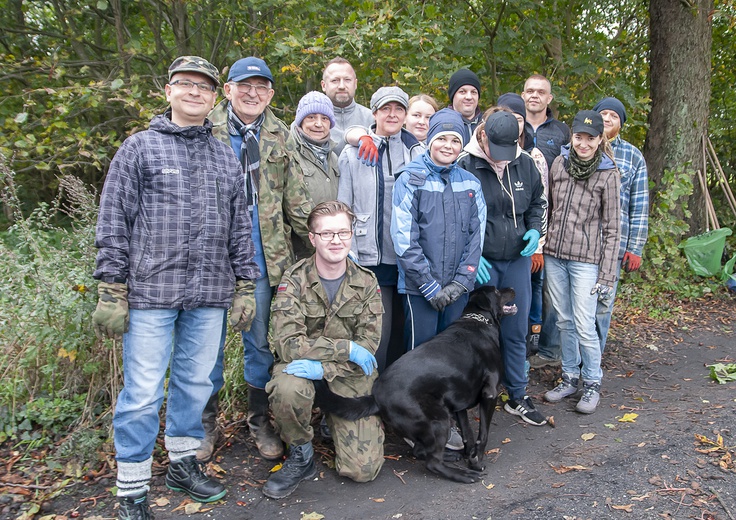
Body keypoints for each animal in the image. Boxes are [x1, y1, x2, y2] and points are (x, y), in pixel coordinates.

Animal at [316, 284, 516, 484]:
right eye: (496, 292)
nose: (512, 289)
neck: (479, 320)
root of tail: (376, 396)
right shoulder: (490, 393)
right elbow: (483, 435)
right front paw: (476, 462)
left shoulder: (460, 403)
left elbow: (467, 433)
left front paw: (469, 454)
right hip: (438, 419)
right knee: (431, 462)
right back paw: (462, 475)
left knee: (420, 451)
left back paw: (450, 456)